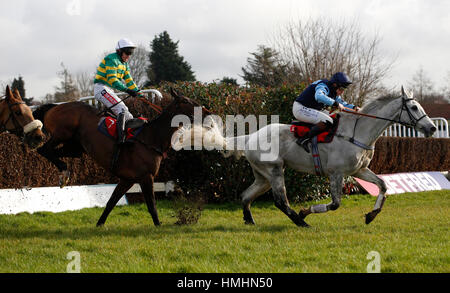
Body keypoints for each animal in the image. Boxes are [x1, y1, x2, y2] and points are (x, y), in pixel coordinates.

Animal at [35, 88, 211, 226]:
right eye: (186, 100)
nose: (207, 111)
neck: (151, 138)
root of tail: (56, 106)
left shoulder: (127, 179)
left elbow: (111, 202)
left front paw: (99, 224)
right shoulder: (146, 177)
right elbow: (151, 205)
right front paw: (158, 225)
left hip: (75, 147)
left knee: (53, 153)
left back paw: (63, 173)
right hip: (63, 133)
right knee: (43, 150)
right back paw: (64, 170)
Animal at [223, 86, 438, 226]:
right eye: (414, 108)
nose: (432, 128)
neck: (358, 132)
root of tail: (251, 137)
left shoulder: (359, 170)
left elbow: (383, 185)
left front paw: (371, 215)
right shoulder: (336, 173)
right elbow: (335, 204)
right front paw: (305, 211)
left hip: (263, 176)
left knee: (246, 196)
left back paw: (249, 220)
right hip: (274, 171)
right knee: (280, 201)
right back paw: (300, 222)